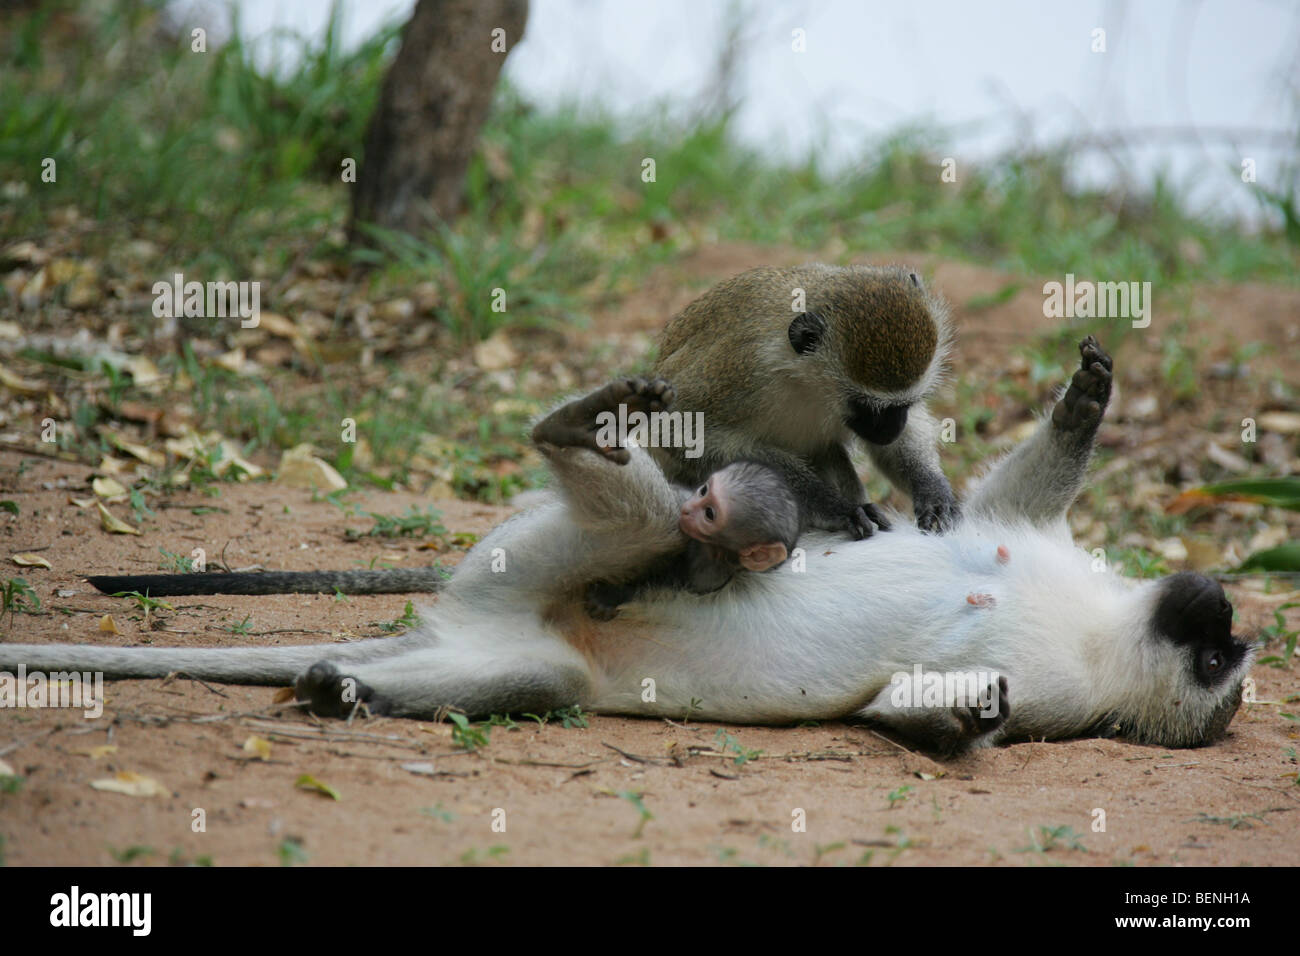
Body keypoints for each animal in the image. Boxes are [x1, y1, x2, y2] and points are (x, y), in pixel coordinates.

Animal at [5, 340, 1253, 749]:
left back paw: (346, 688)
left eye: (1213, 664)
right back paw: (578, 422)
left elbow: (911, 707)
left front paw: (964, 712)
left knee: (534, 678)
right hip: (529, 550)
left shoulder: (1062, 697)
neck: (1098, 629)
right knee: (653, 522)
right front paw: (1088, 394)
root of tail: (482, 612)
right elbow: (998, 502)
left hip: (515, 617)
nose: (1223, 615)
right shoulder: (1034, 545)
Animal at [660, 264, 956, 538]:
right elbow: (680, 430)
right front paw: (834, 506)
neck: (806, 379)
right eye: (865, 406)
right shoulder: (741, 372)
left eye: (902, 406)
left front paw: (931, 489)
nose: (891, 430)